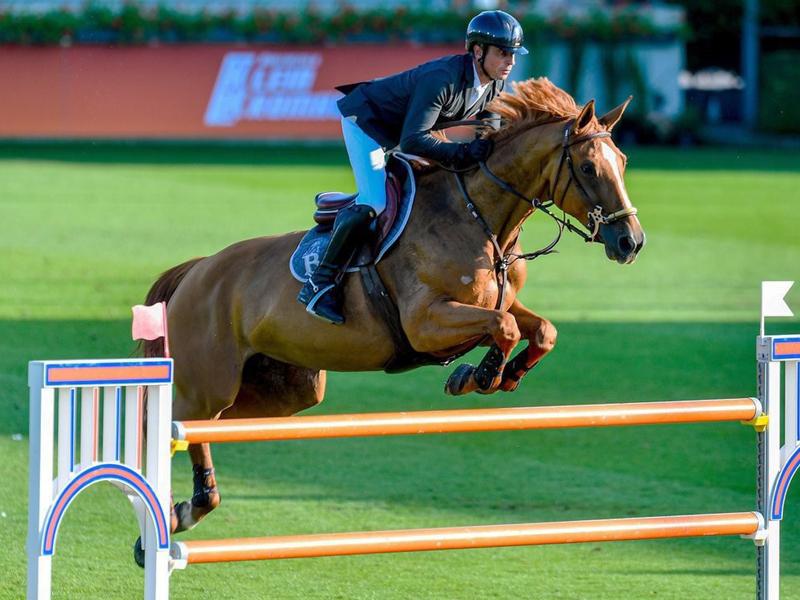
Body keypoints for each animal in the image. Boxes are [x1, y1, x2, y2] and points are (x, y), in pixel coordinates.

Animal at [141, 76, 648, 540]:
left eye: (622, 162)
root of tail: (196, 272)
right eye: (588, 167)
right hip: (210, 383)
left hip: (287, 390)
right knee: (177, 424)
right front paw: (477, 376)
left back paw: (189, 506)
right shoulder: (425, 322)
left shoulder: (499, 302)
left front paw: (501, 375)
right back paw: (169, 515)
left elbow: (540, 329)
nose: (631, 242)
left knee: (208, 428)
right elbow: (502, 327)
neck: (479, 219)